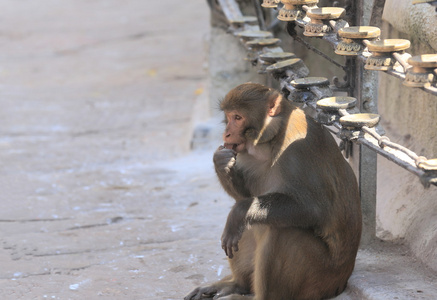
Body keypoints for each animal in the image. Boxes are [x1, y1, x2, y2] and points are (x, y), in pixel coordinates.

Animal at [184, 82, 362, 300]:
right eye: (228, 116)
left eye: (238, 117)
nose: (226, 134)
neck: (272, 138)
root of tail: (343, 279)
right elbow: (246, 196)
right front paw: (221, 161)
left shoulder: (296, 151)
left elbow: (312, 209)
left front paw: (238, 213)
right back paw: (236, 285)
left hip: (321, 278)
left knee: (282, 230)